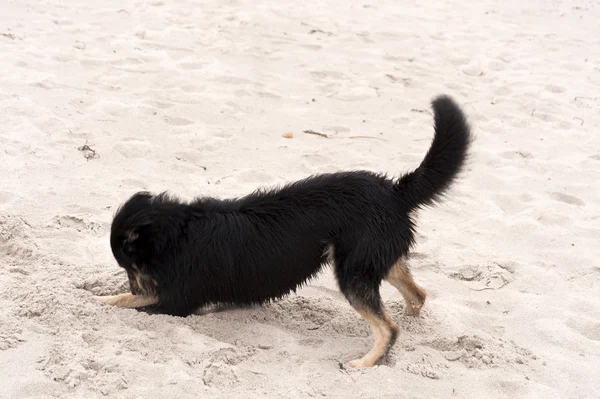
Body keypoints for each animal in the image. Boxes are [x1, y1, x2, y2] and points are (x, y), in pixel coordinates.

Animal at [97, 95, 474, 370]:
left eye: (131, 266)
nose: (138, 283)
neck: (179, 233)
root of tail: (394, 191)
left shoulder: (176, 302)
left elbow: (129, 302)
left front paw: (103, 300)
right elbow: (126, 299)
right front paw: (104, 295)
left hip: (352, 272)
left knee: (389, 327)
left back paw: (365, 363)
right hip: (373, 260)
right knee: (417, 296)